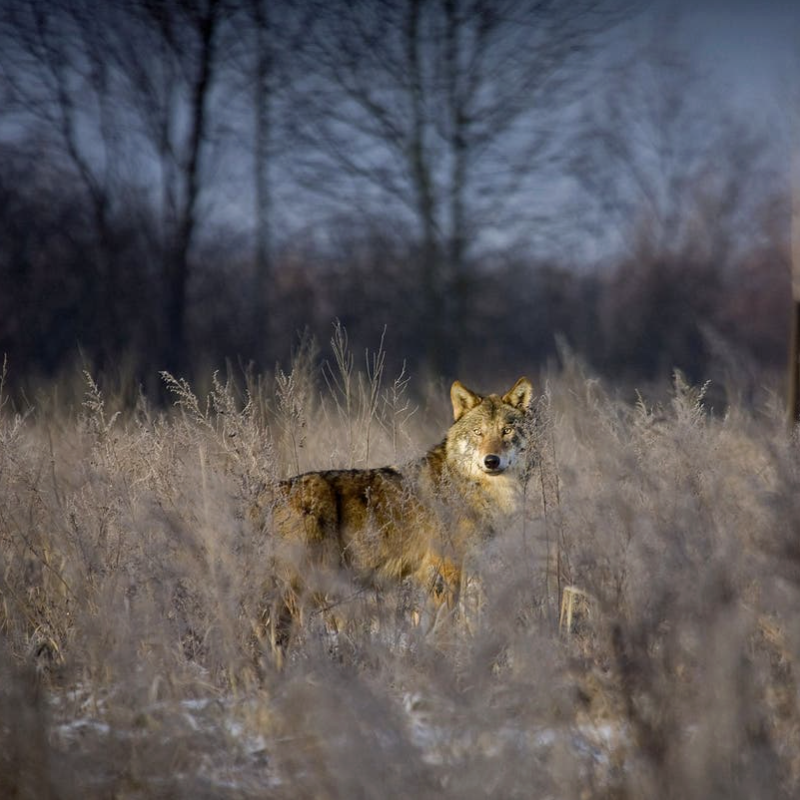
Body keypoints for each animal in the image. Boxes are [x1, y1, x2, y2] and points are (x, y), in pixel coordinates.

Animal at [252, 377, 535, 651]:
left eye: (506, 431)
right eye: (478, 432)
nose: (491, 461)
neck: (475, 487)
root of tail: (267, 493)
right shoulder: (446, 571)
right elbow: (447, 624)